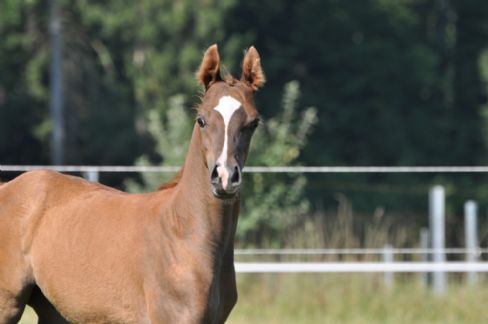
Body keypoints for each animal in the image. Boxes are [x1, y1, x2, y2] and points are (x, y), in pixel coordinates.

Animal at [0, 43, 264, 324]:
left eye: (253, 122)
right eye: (201, 120)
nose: (224, 178)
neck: (184, 233)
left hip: (55, 311)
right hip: (7, 304)